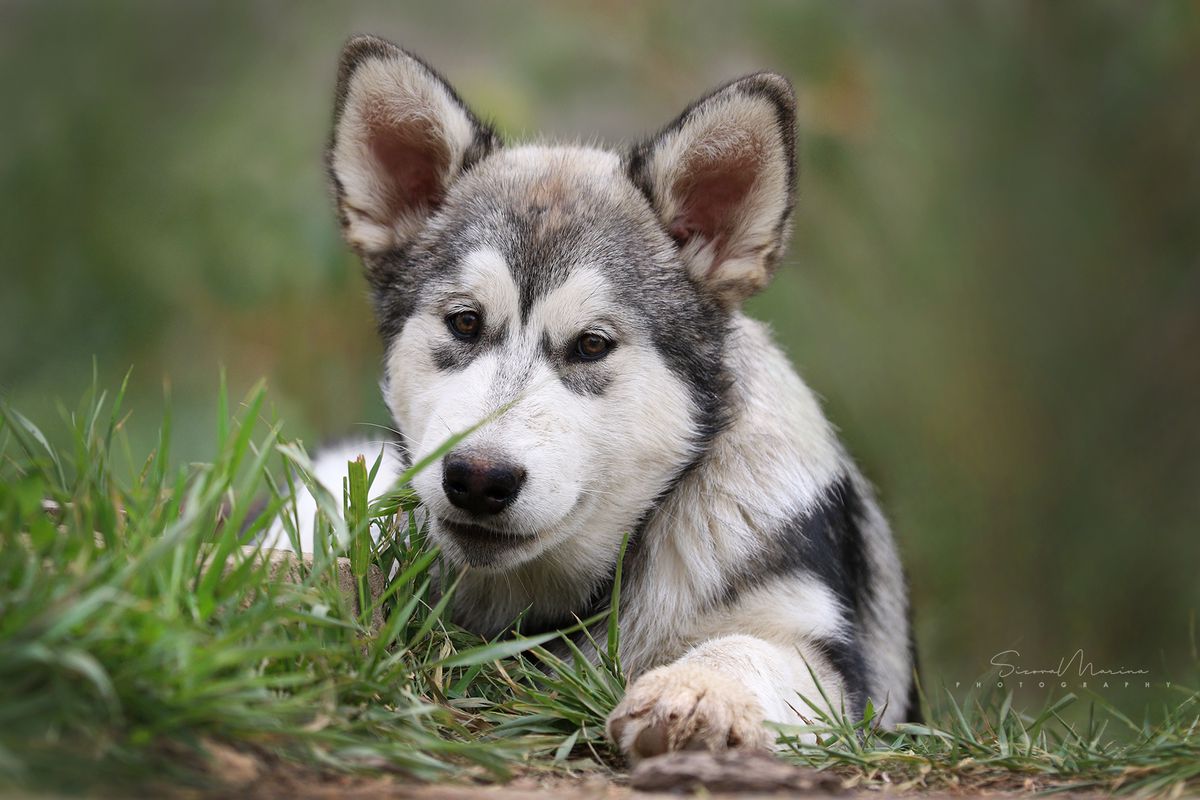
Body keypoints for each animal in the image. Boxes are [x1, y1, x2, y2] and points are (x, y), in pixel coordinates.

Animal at [280, 35, 916, 762]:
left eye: (591, 344)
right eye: (464, 323)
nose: (478, 480)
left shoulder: (831, 662)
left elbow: (746, 649)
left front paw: (697, 692)